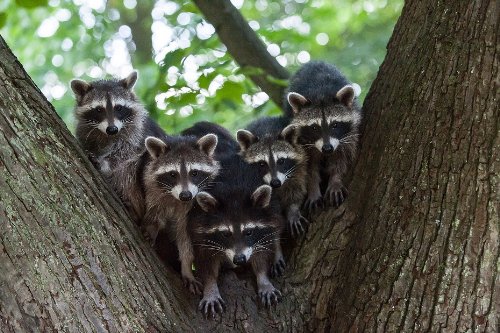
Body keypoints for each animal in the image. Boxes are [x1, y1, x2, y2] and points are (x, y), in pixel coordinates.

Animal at [71, 70, 166, 220]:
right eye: (99, 109)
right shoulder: (85, 132)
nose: (112, 129)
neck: (107, 136)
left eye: (119, 108)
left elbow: (125, 155)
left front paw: (104, 163)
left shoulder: (137, 134)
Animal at [141, 134, 219, 292]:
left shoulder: (190, 208)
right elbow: (154, 212)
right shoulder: (153, 189)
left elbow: (184, 236)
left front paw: (187, 267)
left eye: (194, 173)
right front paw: (152, 227)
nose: (186, 195)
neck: (175, 198)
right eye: (172, 174)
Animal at [188, 154, 286, 316]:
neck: (233, 192)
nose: (239, 259)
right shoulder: (199, 227)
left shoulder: (265, 224)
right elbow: (205, 261)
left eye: (248, 232)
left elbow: (262, 253)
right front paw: (210, 287)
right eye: (225, 234)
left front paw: (263, 279)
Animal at [284, 61, 362, 211]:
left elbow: (342, 157)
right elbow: (309, 167)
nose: (327, 148)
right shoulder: (302, 141)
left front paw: (335, 179)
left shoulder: (349, 134)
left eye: (335, 125)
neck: (321, 93)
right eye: (314, 127)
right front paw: (313, 188)